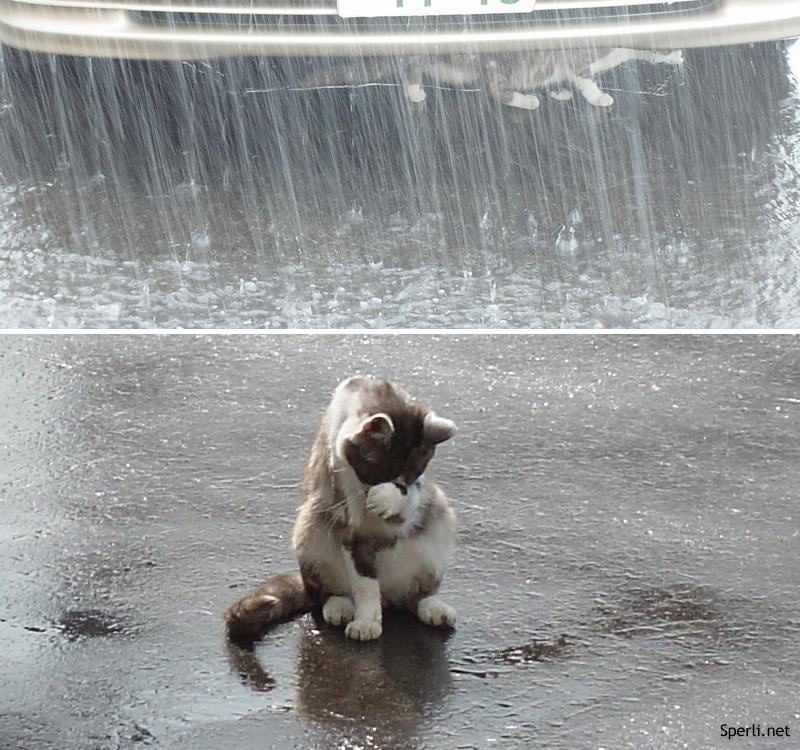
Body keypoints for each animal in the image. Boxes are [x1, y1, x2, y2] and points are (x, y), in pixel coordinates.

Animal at [225, 378, 460, 644]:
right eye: (378, 473)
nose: (395, 488)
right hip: (310, 526)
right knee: (326, 592)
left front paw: (390, 500)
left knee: (415, 595)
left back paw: (432, 607)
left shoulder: (417, 496)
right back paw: (340, 606)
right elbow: (364, 584)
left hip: (440, 522)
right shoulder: (348, 519)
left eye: (413, 476)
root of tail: (388, 597)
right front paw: (366, 622)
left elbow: (410, 505)